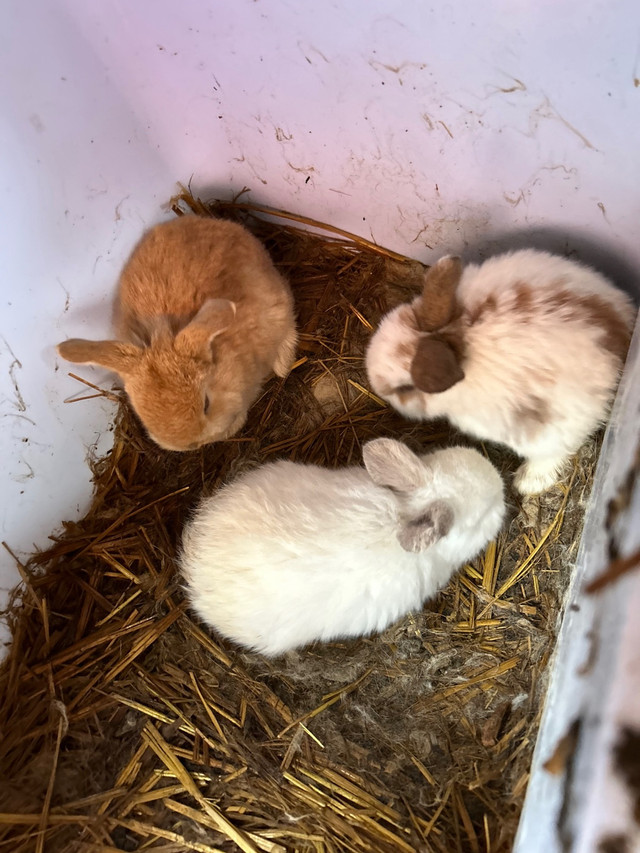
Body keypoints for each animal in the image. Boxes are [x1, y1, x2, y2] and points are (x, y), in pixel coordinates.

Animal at [364, 248, 636, 492]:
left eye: (405, 388)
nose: (375, 384)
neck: (457, 335)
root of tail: (620, 338)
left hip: (551, 434)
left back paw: (526, 482)